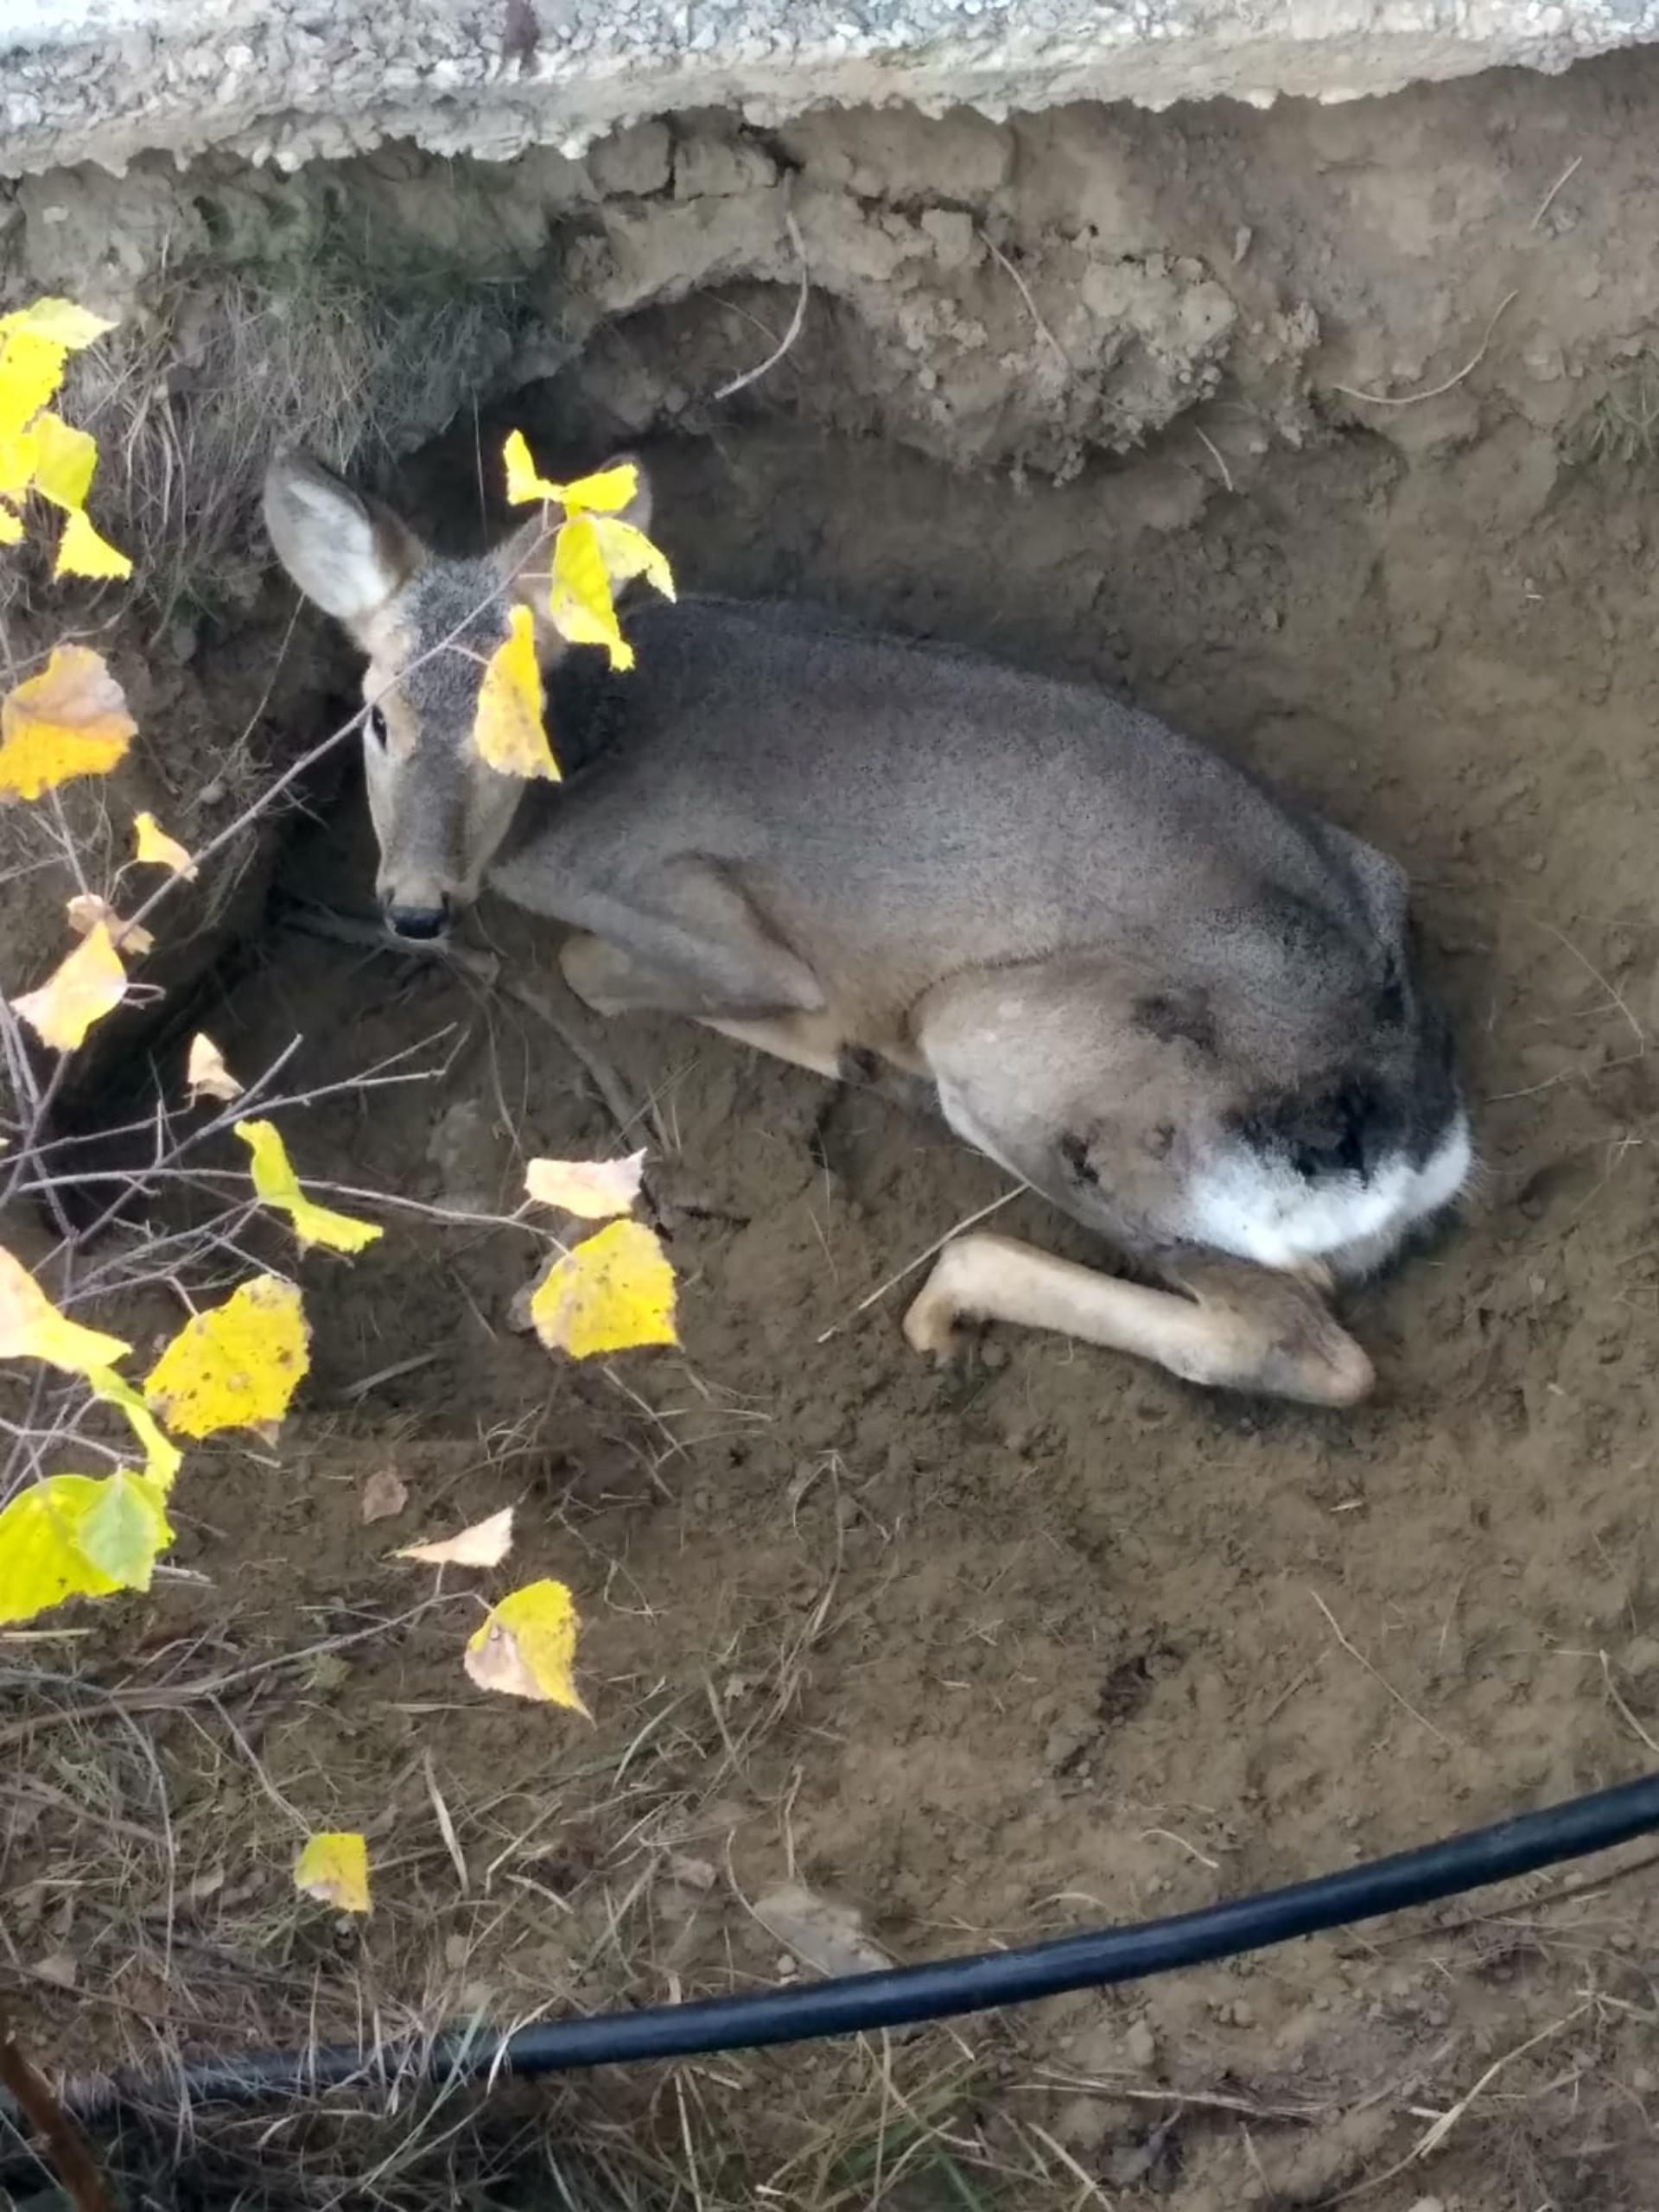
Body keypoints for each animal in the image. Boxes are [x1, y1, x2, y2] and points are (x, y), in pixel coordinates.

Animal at [266, 451, 1478, 1407]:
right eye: (377, 716)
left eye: (511, 731)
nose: (414, 904)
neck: (585, 758)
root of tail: (1405, 1138)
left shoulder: (703, 917)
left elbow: (591, 966)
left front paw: (827, 1039)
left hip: (1006, 1040)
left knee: (1297, 1336)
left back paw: (947, 1282)